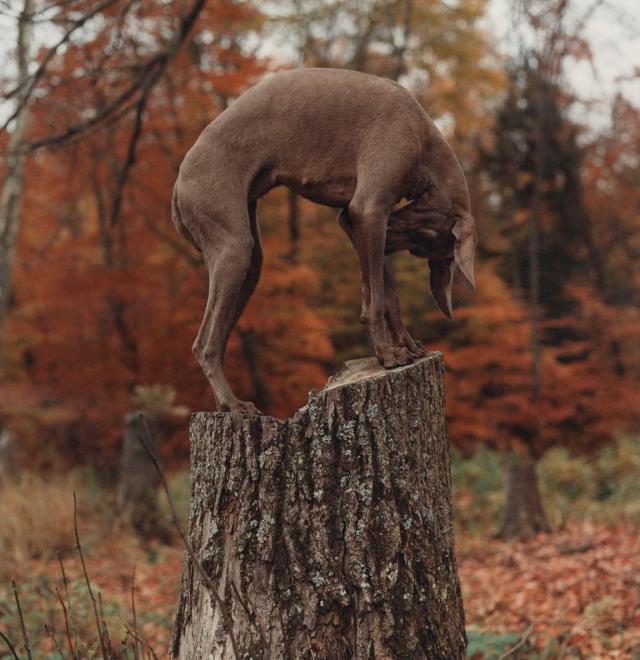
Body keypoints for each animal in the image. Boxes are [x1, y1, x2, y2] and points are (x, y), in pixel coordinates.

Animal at [170, 67, 476, 412]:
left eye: (420, 244)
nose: (386, 240)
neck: (423, 139)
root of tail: (178, 185)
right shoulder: (368, 211)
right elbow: (375, 302)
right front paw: (388, 356)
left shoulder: (358, 220)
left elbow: (388, 297)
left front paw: (408, 346)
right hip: (234, 249)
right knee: (203, 345)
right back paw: (232, 403)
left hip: (250, 263)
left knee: (216, 337)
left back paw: (226, 402)